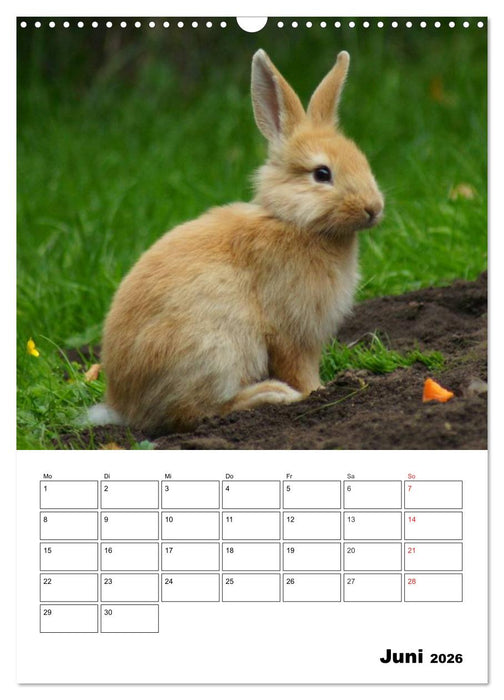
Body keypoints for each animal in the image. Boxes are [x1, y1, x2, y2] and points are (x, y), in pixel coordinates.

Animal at [94, 49, 384, 434]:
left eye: (362, 160)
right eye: (322, 174)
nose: (374, 208)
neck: (294, 222)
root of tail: (124, 407)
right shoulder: (290, 331)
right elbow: (299, 369)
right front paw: (317, 393)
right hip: (216, 351)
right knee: (196, 411)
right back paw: (270, 395)